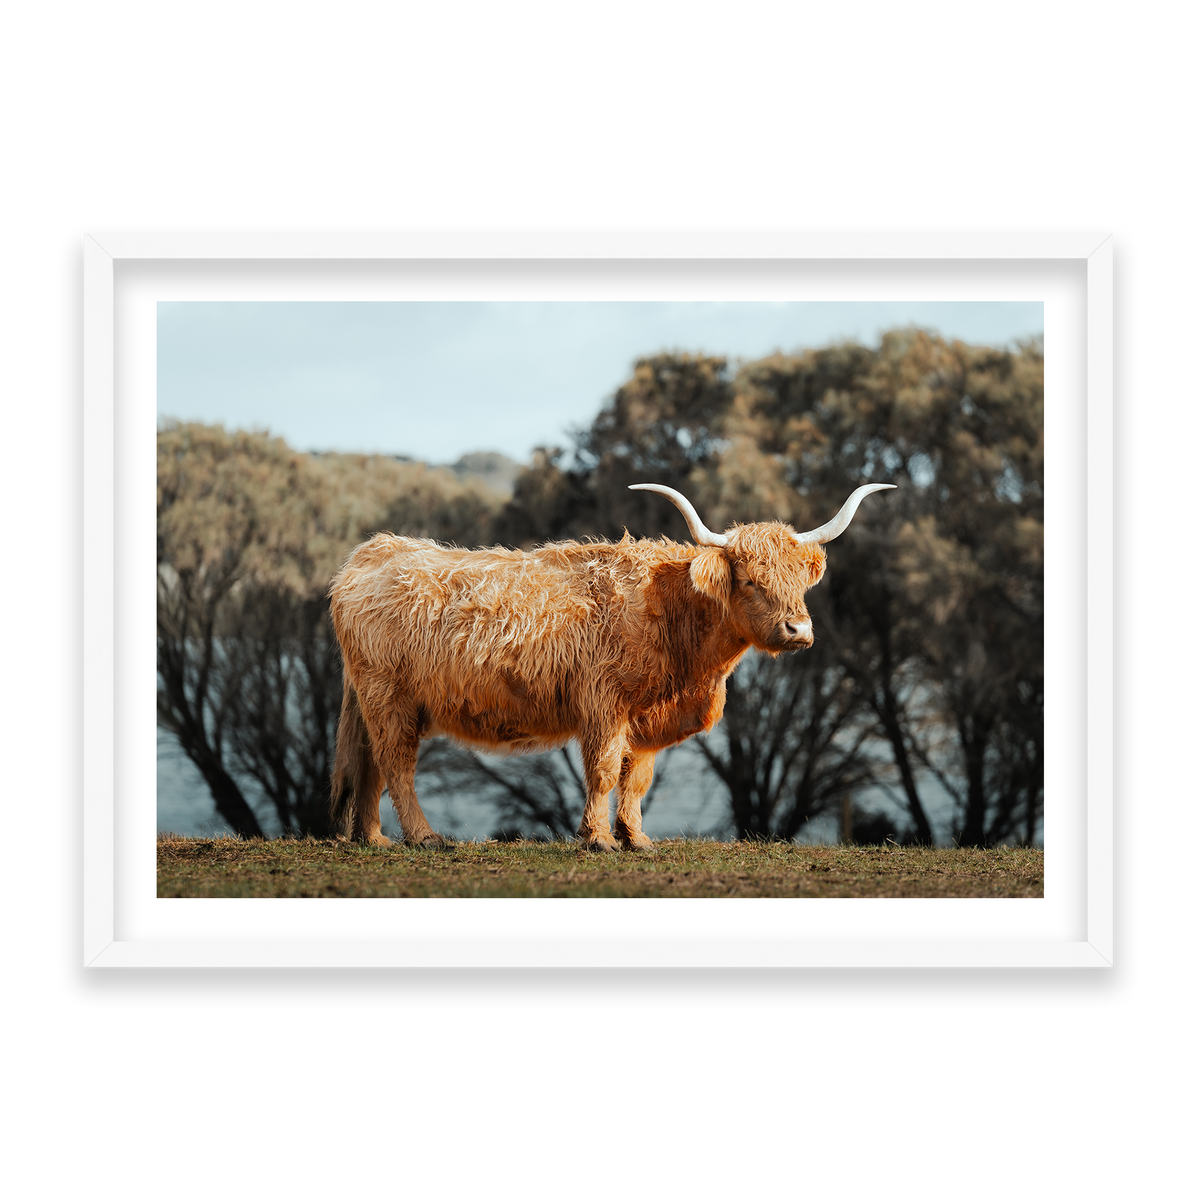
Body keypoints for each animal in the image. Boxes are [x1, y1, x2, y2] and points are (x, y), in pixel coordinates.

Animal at [329, 482, 894, 851]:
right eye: (752, 581)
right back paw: (424, 837)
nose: (798, 630)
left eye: (799, 580)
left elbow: (636, 777)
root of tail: (372, 551)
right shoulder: (604, 703)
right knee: (396, 763)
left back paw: (374, 839)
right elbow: (602, 771)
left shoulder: (646, 717)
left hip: (376, 701)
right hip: (390, 697)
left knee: (371, 764)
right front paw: (598, 839)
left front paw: (636, 838)